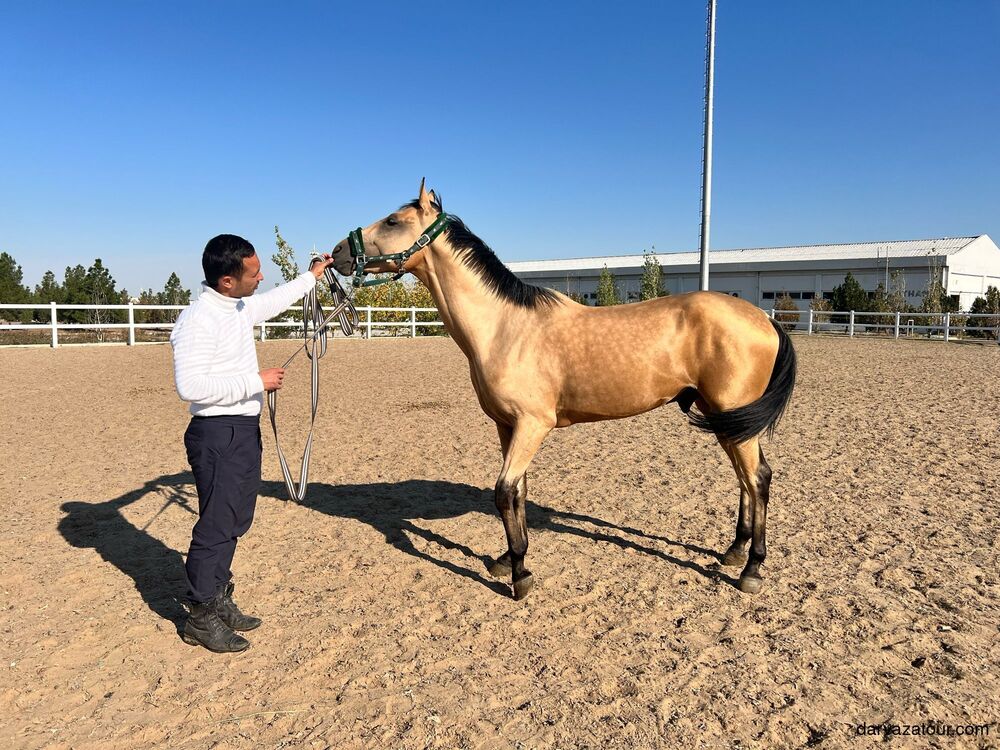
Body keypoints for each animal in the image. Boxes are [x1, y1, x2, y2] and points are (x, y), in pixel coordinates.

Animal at [331, 181, 796, 599]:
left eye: (393, 220)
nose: (337, 253)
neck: (505, 328)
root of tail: (765, 319)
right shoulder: (507, 426)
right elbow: (517, 492)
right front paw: (507, 560)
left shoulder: (533, 425)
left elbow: (503, 491)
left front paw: (520, 576)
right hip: (725, 417)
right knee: (745, 479)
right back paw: (734, 552)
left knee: (758, 479)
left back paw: (751, 570)